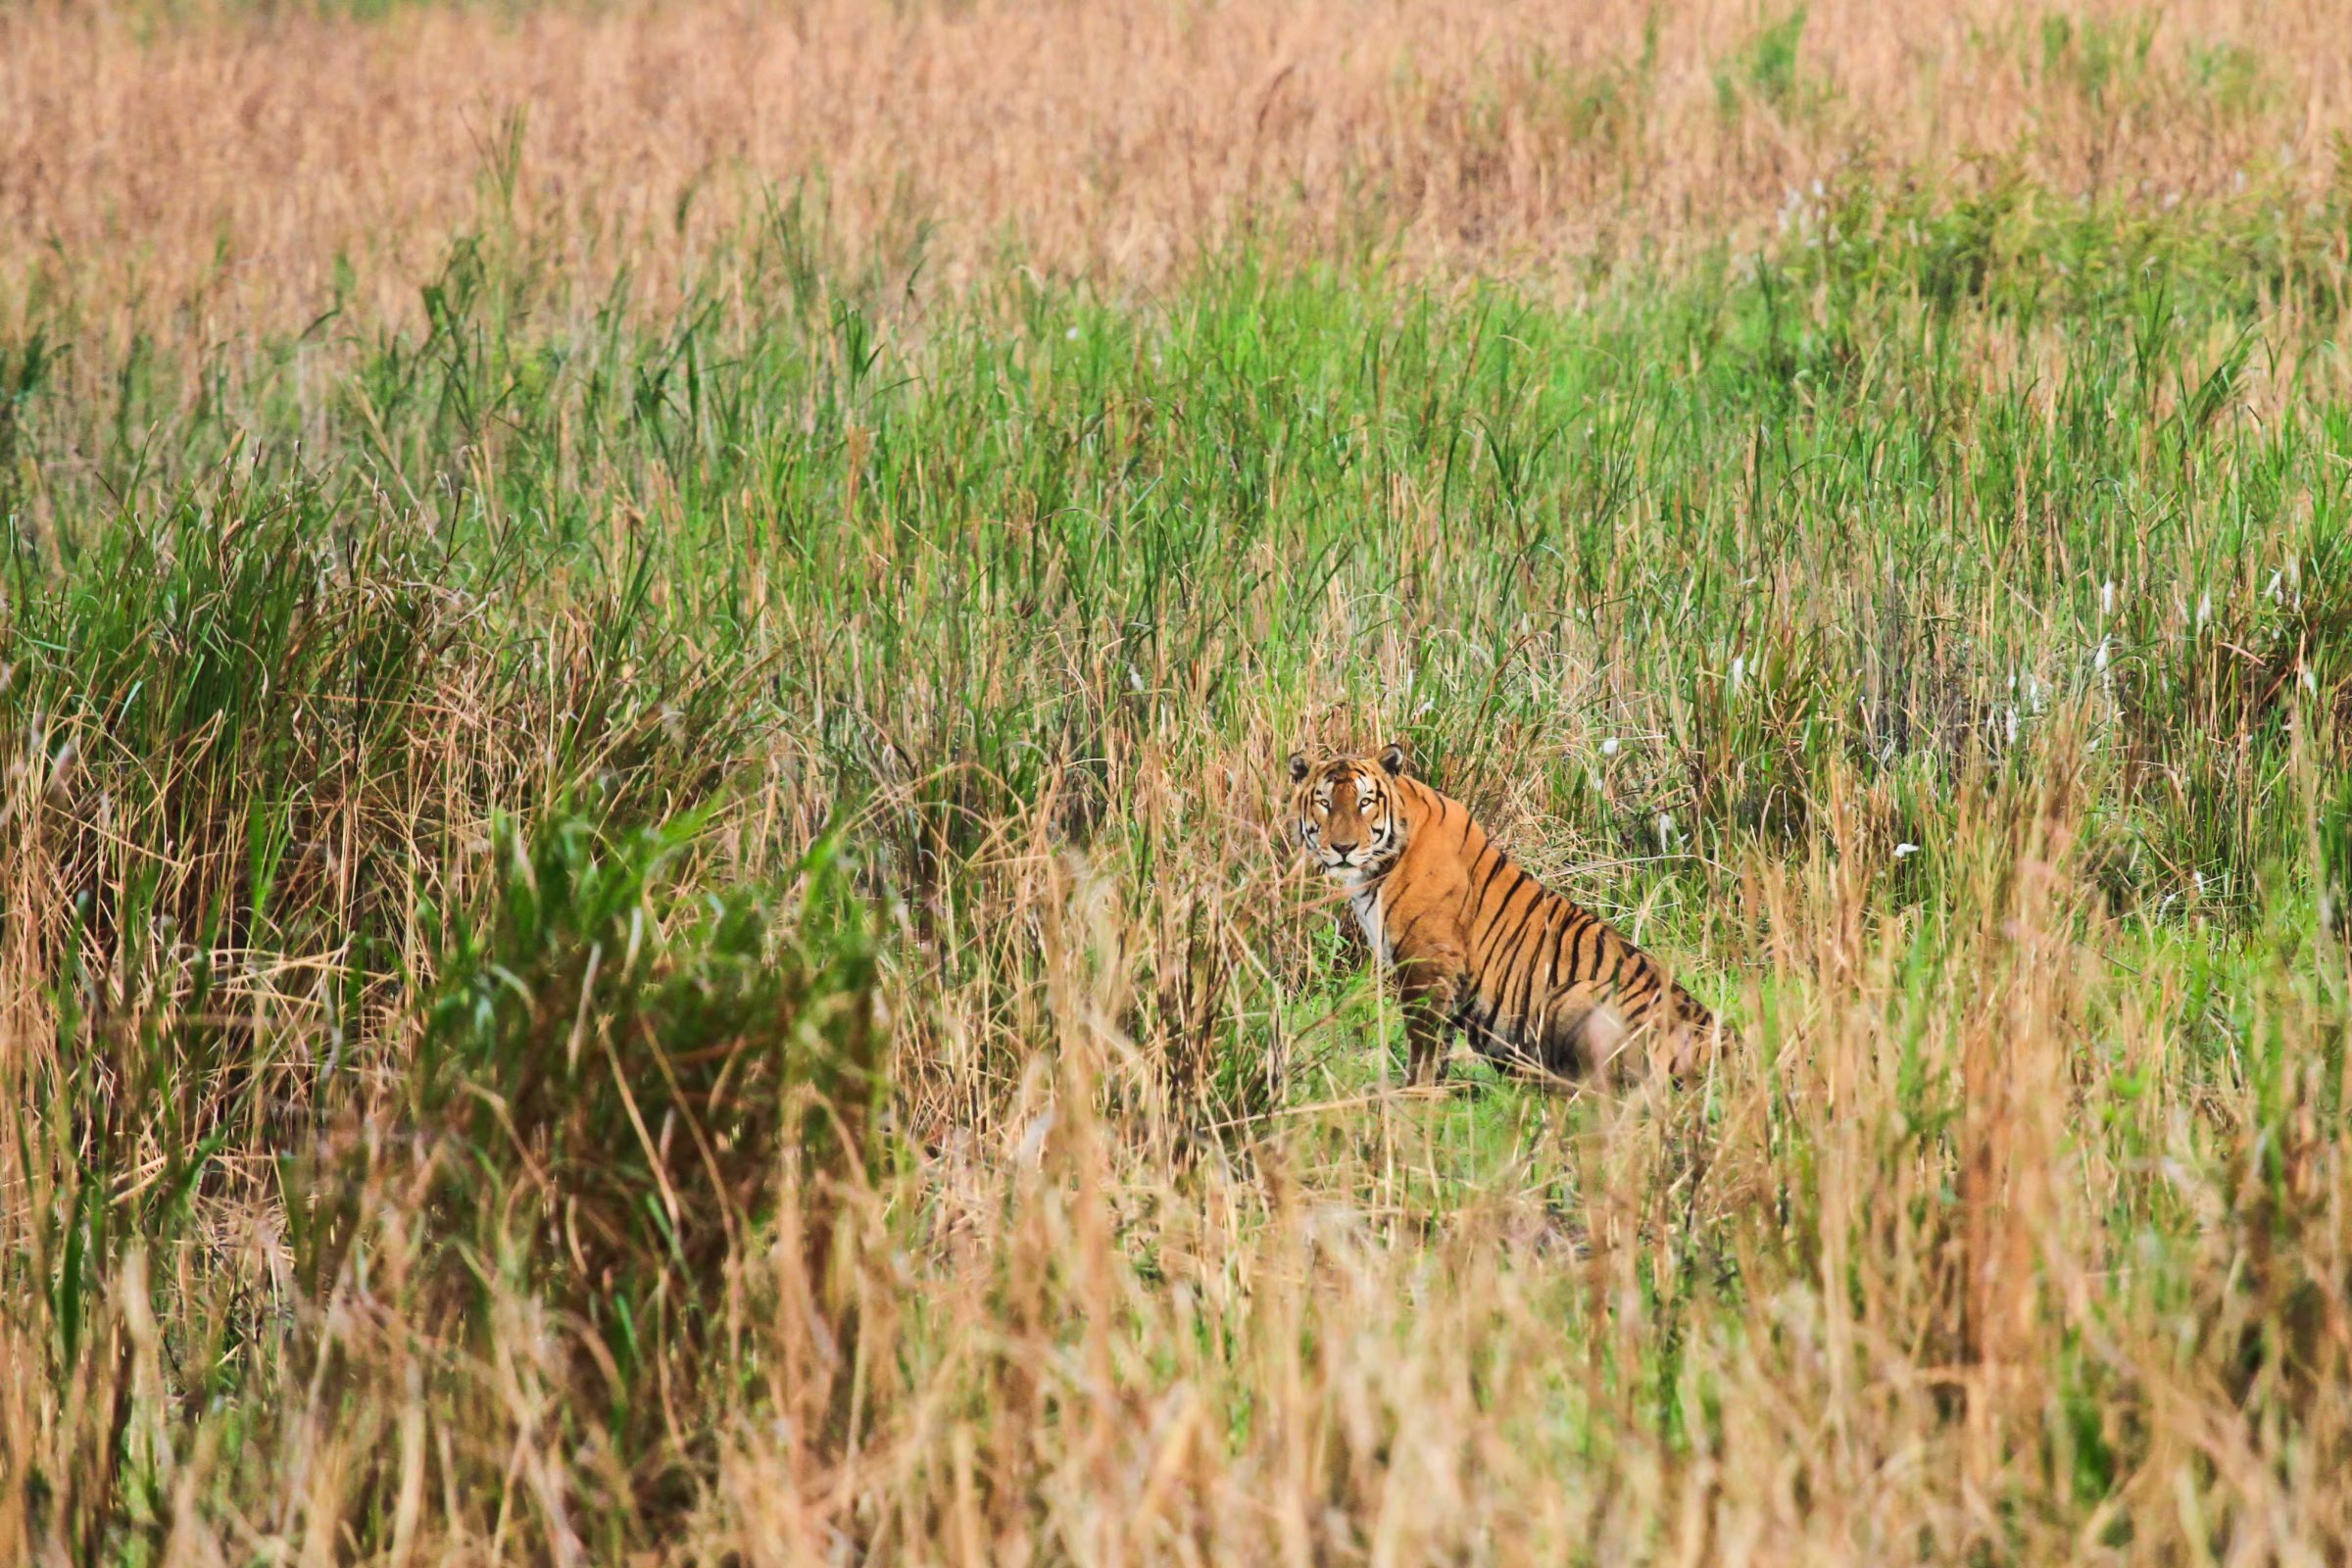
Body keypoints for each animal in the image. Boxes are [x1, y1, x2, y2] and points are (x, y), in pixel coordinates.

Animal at [1298, 747, 1721, 1091]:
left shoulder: (1427, 960)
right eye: (1324, 802)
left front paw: (1413, 1093)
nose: (1343, 848)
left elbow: (1424, 1041)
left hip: (1572, 995)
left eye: (1365, 802)